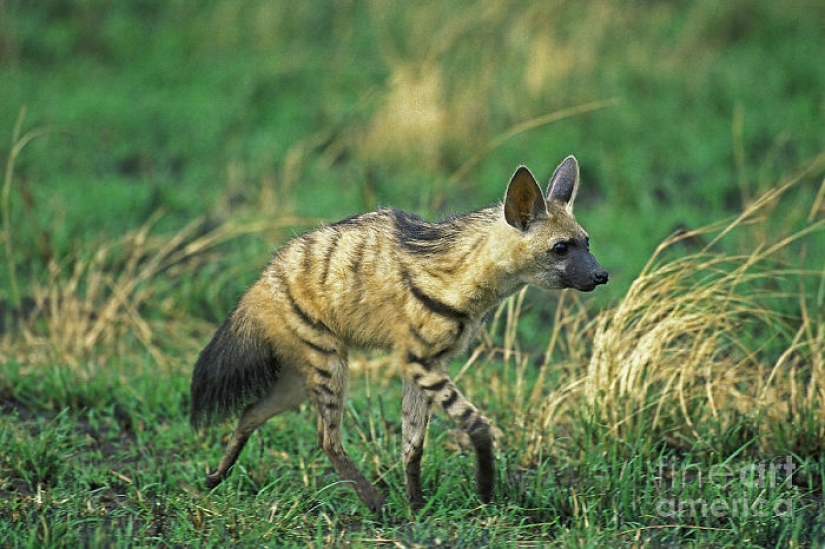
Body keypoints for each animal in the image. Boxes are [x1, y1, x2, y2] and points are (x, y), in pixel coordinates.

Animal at [190, 156, 608, 512]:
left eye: (587, 241)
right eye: (560, 248)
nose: (602, 274)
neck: (469, 283)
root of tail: (259, 285)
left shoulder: (428, 363)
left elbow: (413, 442)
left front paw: (418, 505)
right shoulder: (418, 358)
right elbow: (476, 424)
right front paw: (486, 492)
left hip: (298, 370)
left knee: (252, 411)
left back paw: (214, 477)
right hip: (326, 358)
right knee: (326, 436)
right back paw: (375, 503)